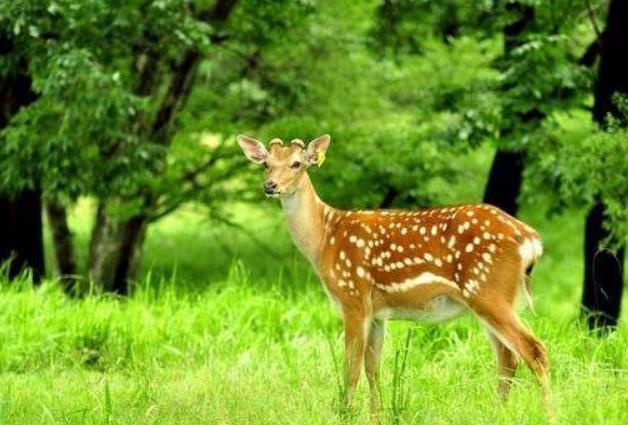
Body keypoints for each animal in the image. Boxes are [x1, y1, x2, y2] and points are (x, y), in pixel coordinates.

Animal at [236, 134, 548, 416]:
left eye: (297, 163)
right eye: (266, 163)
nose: (270, 186)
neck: (324, 239)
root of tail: (531, 240)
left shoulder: (353, 298)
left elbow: (351, 369)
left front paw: (346, 414)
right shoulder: (377, 313)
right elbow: (372, 368)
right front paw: (376, 415)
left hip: (488, 290)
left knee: (534, 350)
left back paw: (547, 413)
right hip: (491, 298)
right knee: (508, 358)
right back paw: (498, 412)